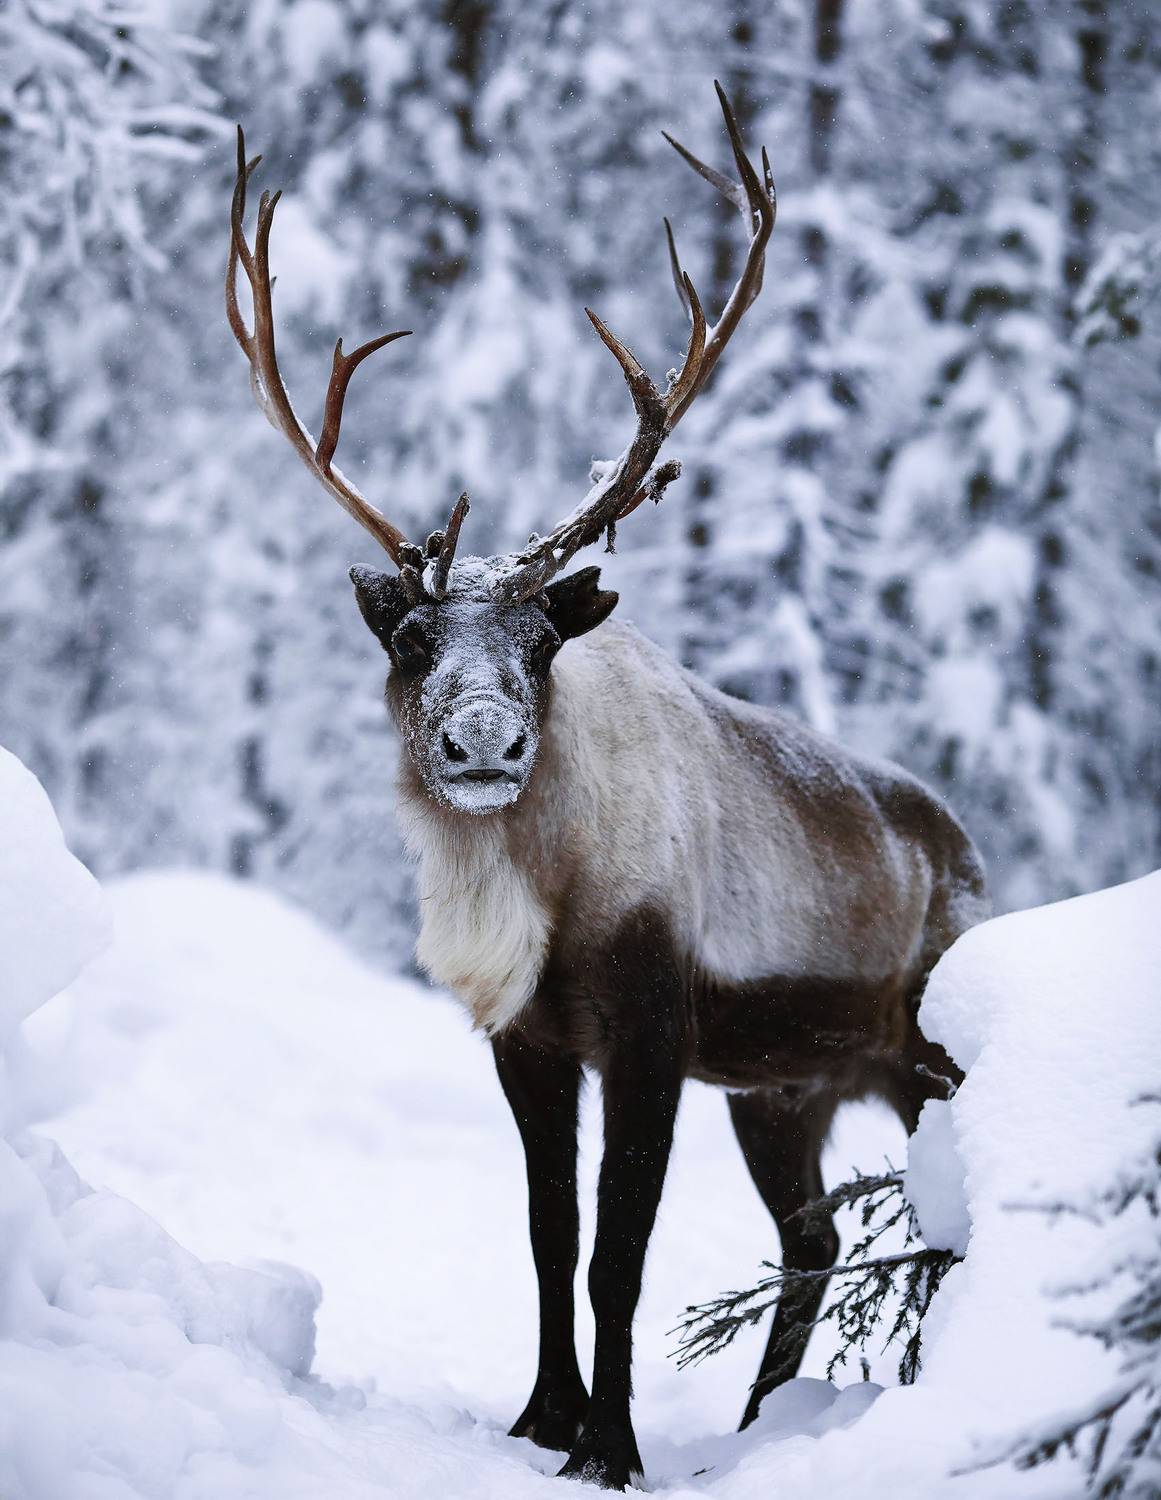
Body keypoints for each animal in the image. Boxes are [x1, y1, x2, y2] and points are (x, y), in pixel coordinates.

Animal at [227, 85, 989, 1491]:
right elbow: (546, 1235)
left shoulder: (652, 1029)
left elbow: (618, 1252)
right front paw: (542, 1419)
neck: (554, 890)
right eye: (411, 640)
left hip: (920, 1056)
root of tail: (969, 853)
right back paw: (755, 1428)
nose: (481, 744)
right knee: (813, 1239)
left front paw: (613, 1448)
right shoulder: (531, 1041)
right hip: (786, 1089)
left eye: (540, 643)